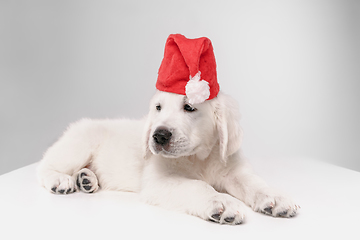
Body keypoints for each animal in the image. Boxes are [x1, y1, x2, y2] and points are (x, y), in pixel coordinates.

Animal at [38, 89, 300, 223]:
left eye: (189, 107)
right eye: (158, 108)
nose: (159, 136)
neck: (199, 157)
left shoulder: (234, 170)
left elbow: (255, 184)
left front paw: (276, 199)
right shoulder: (160, 181)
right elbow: (197, 186)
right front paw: (221, 202)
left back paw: (86, 179)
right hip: (79, 143)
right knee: (44, 165)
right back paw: (61, 180)